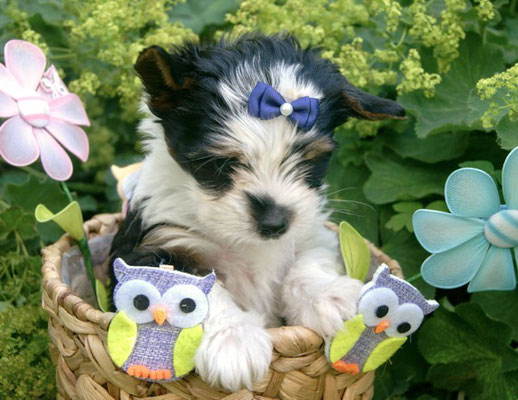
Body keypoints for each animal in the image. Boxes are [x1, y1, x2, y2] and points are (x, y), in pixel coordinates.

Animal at [111, 33, 408, 390]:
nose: (275, 223)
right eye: (220, 164)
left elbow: (307, 263)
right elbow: (196, 291)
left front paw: (331, 297)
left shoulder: (311, 232)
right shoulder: (158, 240)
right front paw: (234, 340)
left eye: (310, 160)